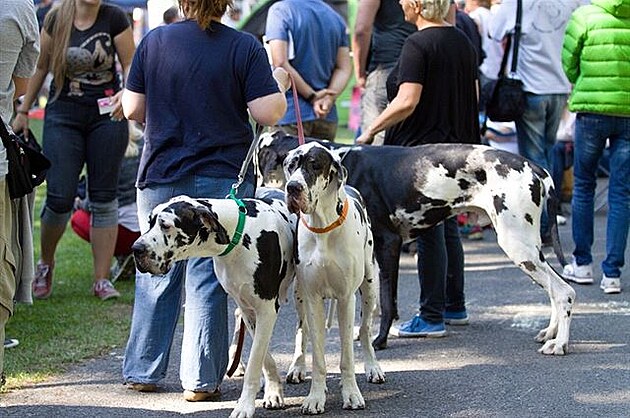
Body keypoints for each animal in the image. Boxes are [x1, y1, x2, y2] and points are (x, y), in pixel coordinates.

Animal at [131, 189, 298, 418]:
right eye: (149, 222)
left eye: (165, 225)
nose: (136, 249)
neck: (238, 234)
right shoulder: (249, 309)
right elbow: (264, 357)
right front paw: (273, 390)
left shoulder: (266, 309)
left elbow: (256, 361)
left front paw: (245, 405)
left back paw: (299, 367)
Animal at [256, 131, 576, 356]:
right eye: (290, 165)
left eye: (314, 165)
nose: (293, 188)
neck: (343, 163)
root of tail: (535, 167)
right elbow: (377, 301)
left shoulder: (388, 244)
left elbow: (386, 302)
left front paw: (379, 340)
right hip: (529, 251)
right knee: (553, 290)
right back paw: (550, 332)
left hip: (518, 246)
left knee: (565, 291)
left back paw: (559, 344)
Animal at [286, 143, 386, 414]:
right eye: (289, 165)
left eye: (314, 164)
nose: (292, 187)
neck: (323, 226)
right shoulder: (312, 298)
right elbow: (319, 358)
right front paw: (315, 397)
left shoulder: (345, 299)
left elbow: (347, 357)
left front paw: (351, 394)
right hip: (299, 295)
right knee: (302, 330)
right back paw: (297, 366)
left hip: (370, 287)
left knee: (365, 330)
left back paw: (373, 367)